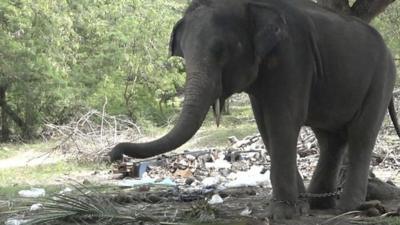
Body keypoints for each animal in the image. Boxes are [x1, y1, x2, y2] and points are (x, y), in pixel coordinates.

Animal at [109, 0, 400, 220]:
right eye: (183, 54)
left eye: (220, 50)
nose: (113, 154)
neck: (249, 5)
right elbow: (265, 126)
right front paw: (297, 207)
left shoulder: (292, 57)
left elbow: (283, 121)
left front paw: (283, 214)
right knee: (331, 138)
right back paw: (320, 204)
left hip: (382, 78)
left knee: (361, 135)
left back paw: (347, 207)